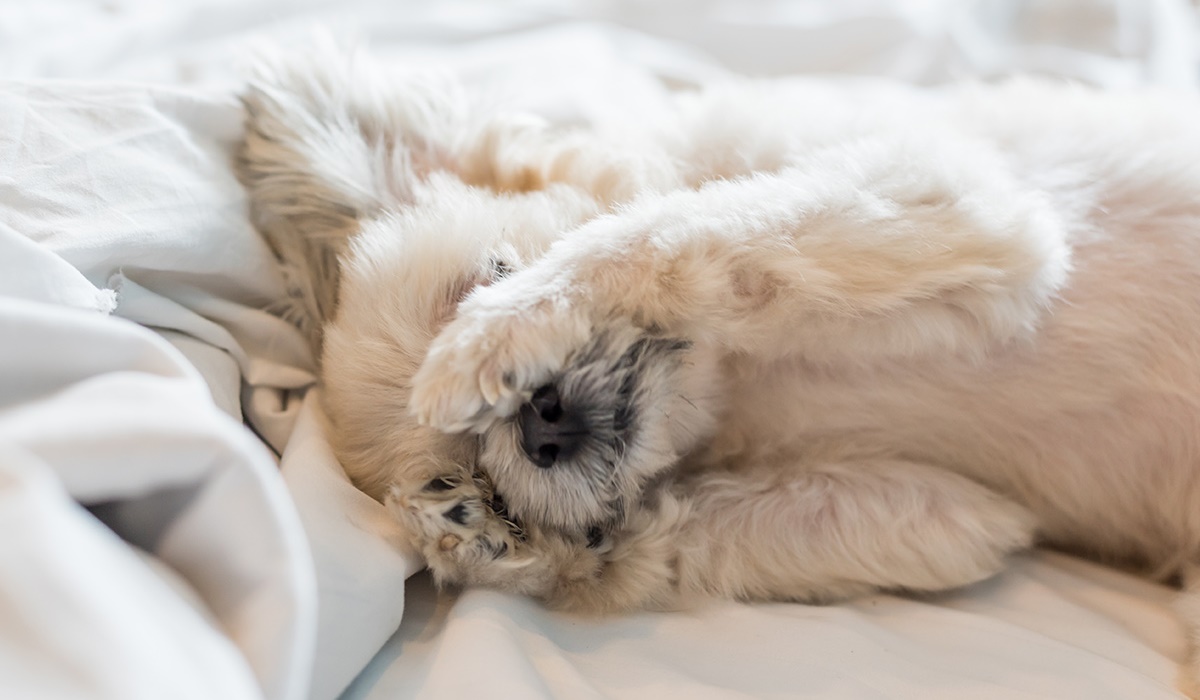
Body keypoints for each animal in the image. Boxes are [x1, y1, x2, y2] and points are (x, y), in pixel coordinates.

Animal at [238, 43, 1200, 696]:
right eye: (497, 491)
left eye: (492, 273)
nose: (538, 420)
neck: (732, 383)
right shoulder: (947, 517)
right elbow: (669, 536)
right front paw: (488, 545)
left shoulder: (952, 196)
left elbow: (679, 224)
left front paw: (503, 334)